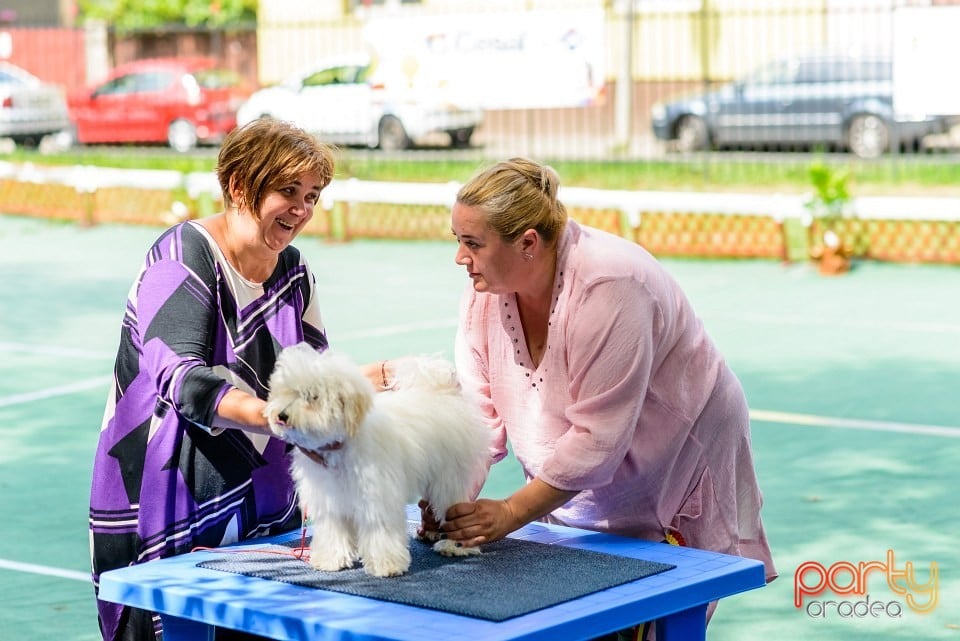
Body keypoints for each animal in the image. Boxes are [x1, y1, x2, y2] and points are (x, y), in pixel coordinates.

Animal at [262, 342, 492, 576]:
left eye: (312, 397)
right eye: (286, 392)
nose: (281, 415)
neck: (341, 444)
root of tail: (443, 390)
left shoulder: (377, 495)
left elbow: (379, 530)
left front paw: (386, 565)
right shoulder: (330, 500)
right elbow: (333, 530)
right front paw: (331, 560)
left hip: (449, 476)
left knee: (453, 506)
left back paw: (455, 545)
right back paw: (431, 532)